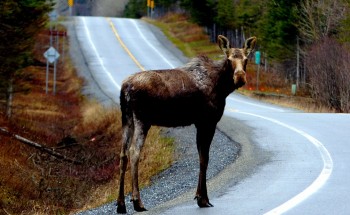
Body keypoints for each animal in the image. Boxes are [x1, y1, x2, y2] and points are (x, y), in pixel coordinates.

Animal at [116, 35, 256, 213]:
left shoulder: (199, 123)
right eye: (229, 59)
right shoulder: (207, 121)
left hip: (126, 118)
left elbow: (202, 156)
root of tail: (125, 89)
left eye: (246, 59)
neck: (222, 87)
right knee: (134, 152)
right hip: (142, 119)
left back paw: (120, 204)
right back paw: (137, 202)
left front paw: (200, 196)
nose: (240, 77)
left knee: (123, 154)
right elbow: (204, 158)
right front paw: (203, 198)